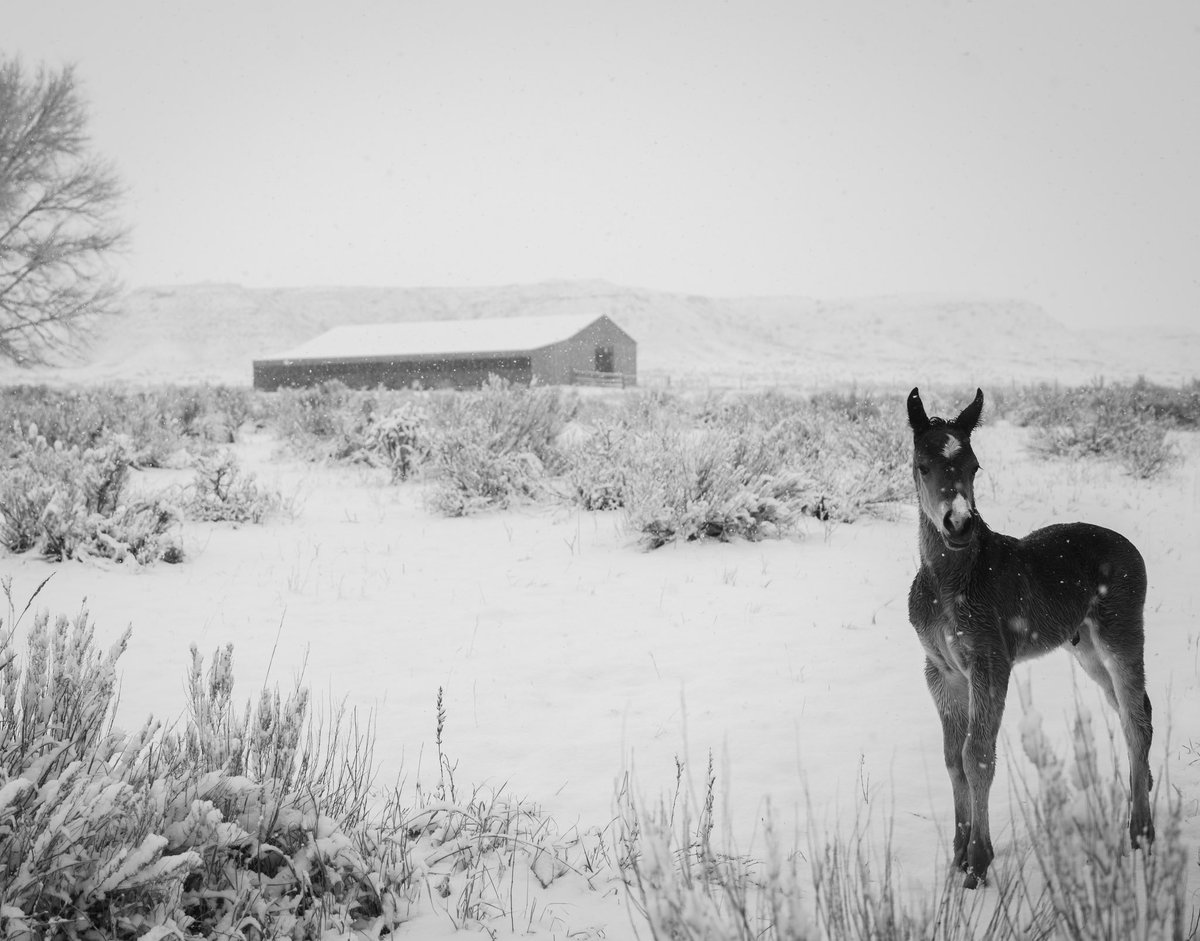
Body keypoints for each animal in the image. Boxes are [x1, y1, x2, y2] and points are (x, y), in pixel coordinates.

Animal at [907, 388, 1152, 888]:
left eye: (974, 465)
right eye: (923, 465)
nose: (958, 524)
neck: (949, 582)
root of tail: (1131, 547)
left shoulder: (990, 663)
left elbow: (977, 755)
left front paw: (978, 863)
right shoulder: (940, 672)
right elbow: (952, 758)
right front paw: (958, 856)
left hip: (1120, 638)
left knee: (1137, 722)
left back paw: (1140, 831)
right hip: (1087, 652)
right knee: (1132, 713)